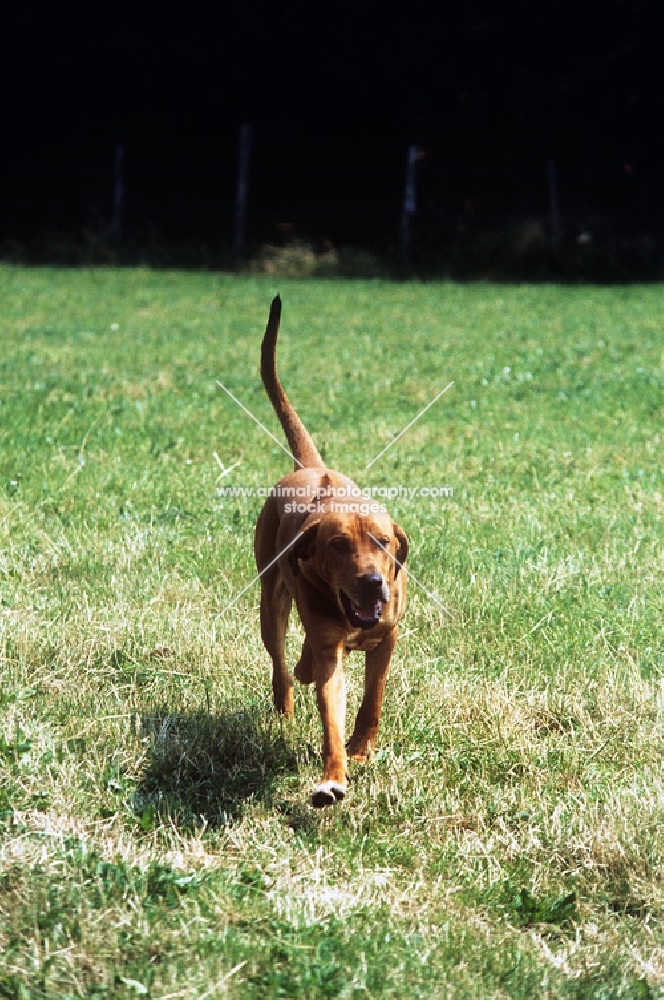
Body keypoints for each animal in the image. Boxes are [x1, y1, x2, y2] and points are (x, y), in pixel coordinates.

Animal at [254, 294, 408, 804]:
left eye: (383, 541)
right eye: (338, 546)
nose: (373, 581)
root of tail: (311, 466)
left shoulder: (387, 637)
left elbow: (372, 699)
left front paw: (361, 750)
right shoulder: (330, 651)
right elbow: (330, 712)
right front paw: (333, 777)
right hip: (270, 599)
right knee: (281, 661)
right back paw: (286, 699)